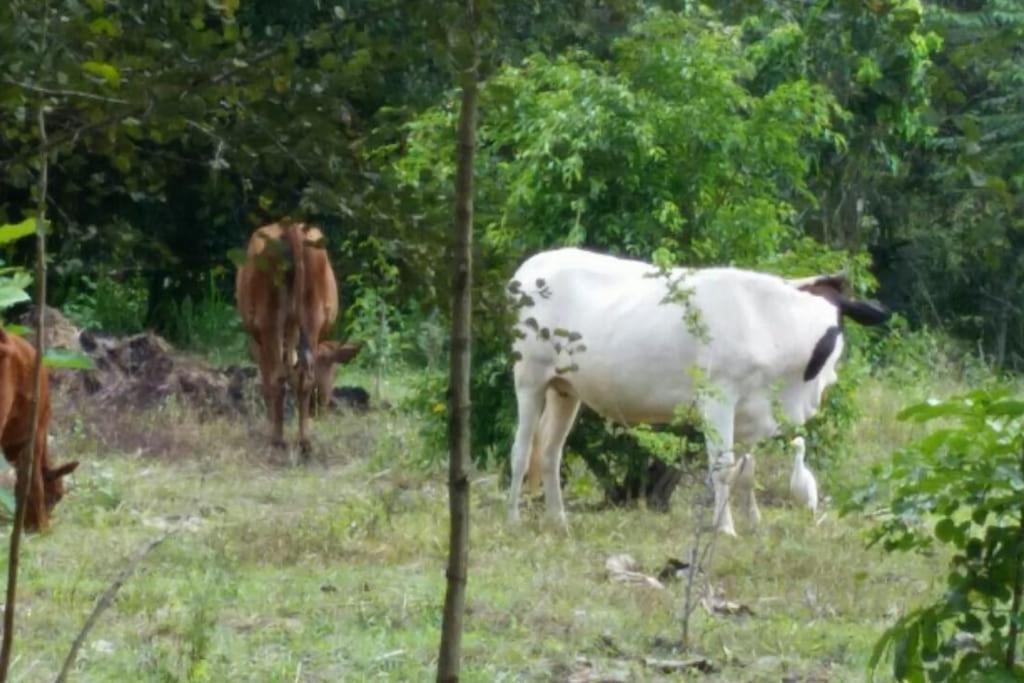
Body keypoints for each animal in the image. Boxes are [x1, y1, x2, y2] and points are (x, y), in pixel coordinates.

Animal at [234, 222, 362, 450]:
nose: (320, 407)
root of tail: (290, 227)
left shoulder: (256, 342)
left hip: (269, 318)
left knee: (276, 377)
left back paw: (277, 439)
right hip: (311, 314)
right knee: (303, 376)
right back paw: (304, 441)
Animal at [505, 248, 888, 536]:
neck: (774, 324)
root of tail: (530, 267)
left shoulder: (752, 412)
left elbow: (747, 473)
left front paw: (754, 525)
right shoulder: (718, 399)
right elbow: (723, 469)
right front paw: (726, 529)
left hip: (565, 389)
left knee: (550, 451)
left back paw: (559, 521)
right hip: (529, 377)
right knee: (521, 450)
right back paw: (513, 518)